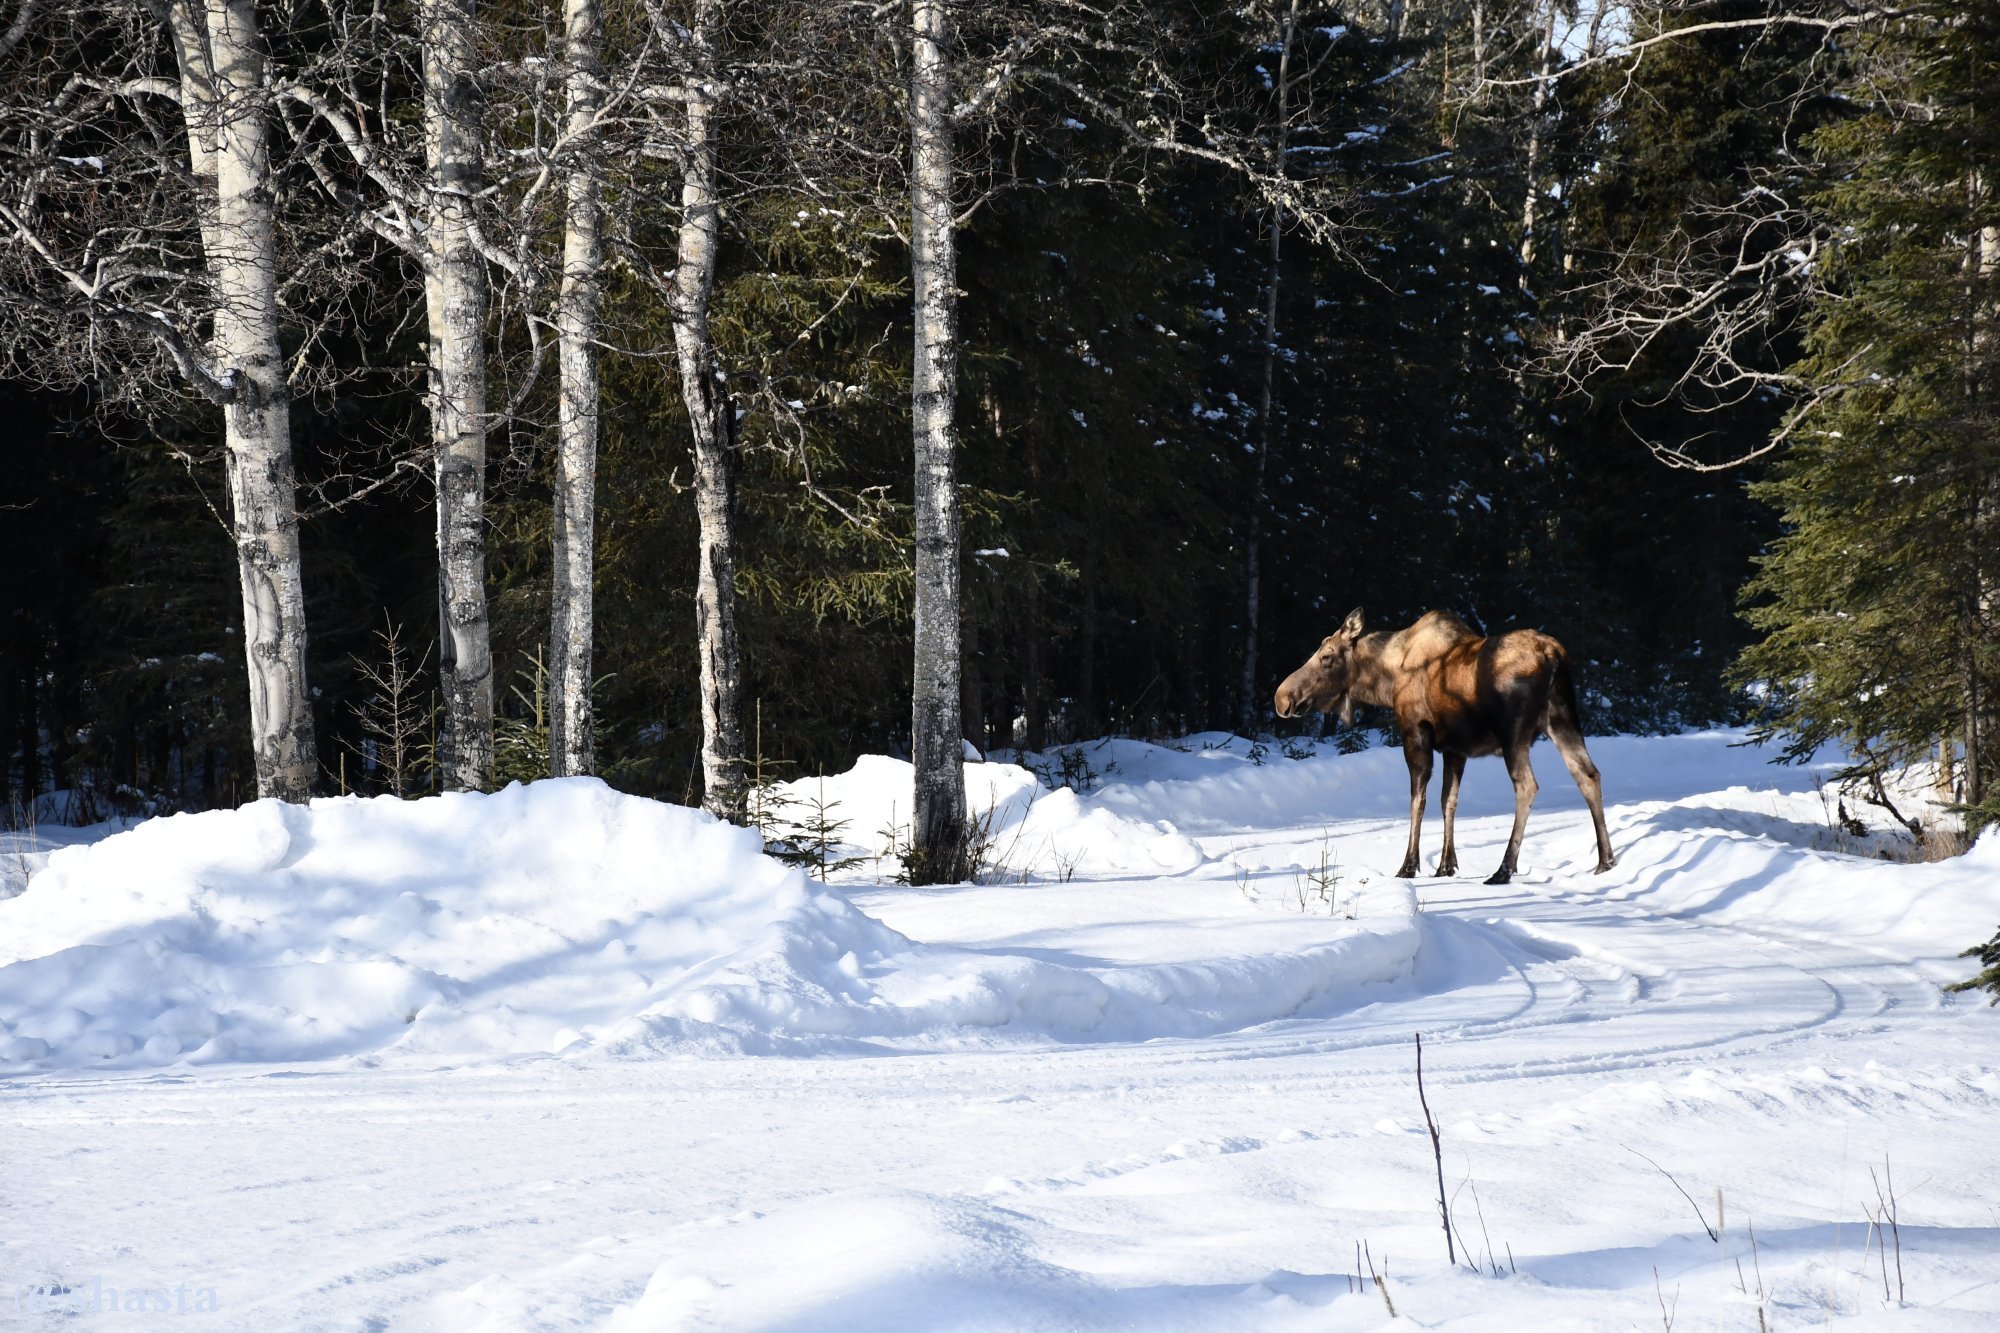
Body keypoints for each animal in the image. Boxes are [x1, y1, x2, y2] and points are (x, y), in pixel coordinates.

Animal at [1280, 608, 1608, 880]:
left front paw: (1408, 866)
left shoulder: (1415, 732)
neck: (1387, 679)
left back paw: (1504, 869)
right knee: (1588, 774)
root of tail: (1555, 655)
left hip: (1514, 734)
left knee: (1527, 785)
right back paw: (1605, 861)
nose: (1282, 697)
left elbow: (1418, 800)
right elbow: (1448, 800)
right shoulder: (1454, 749)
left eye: (1326, 656)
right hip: (1563, 720)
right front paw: (1446, 865)